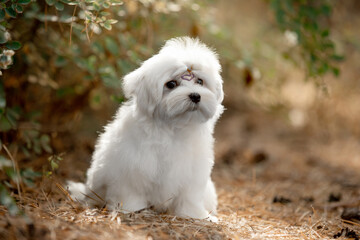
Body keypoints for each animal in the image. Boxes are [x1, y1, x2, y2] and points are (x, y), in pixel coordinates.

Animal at [68, 36, 224, 219]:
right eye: (171, 84)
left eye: (200, 81)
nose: (195, 95)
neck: (174, 128)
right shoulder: (132, 168)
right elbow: (130, 192)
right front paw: (130, 210)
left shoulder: (192, 172)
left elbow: (189, 197)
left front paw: (194, 215)